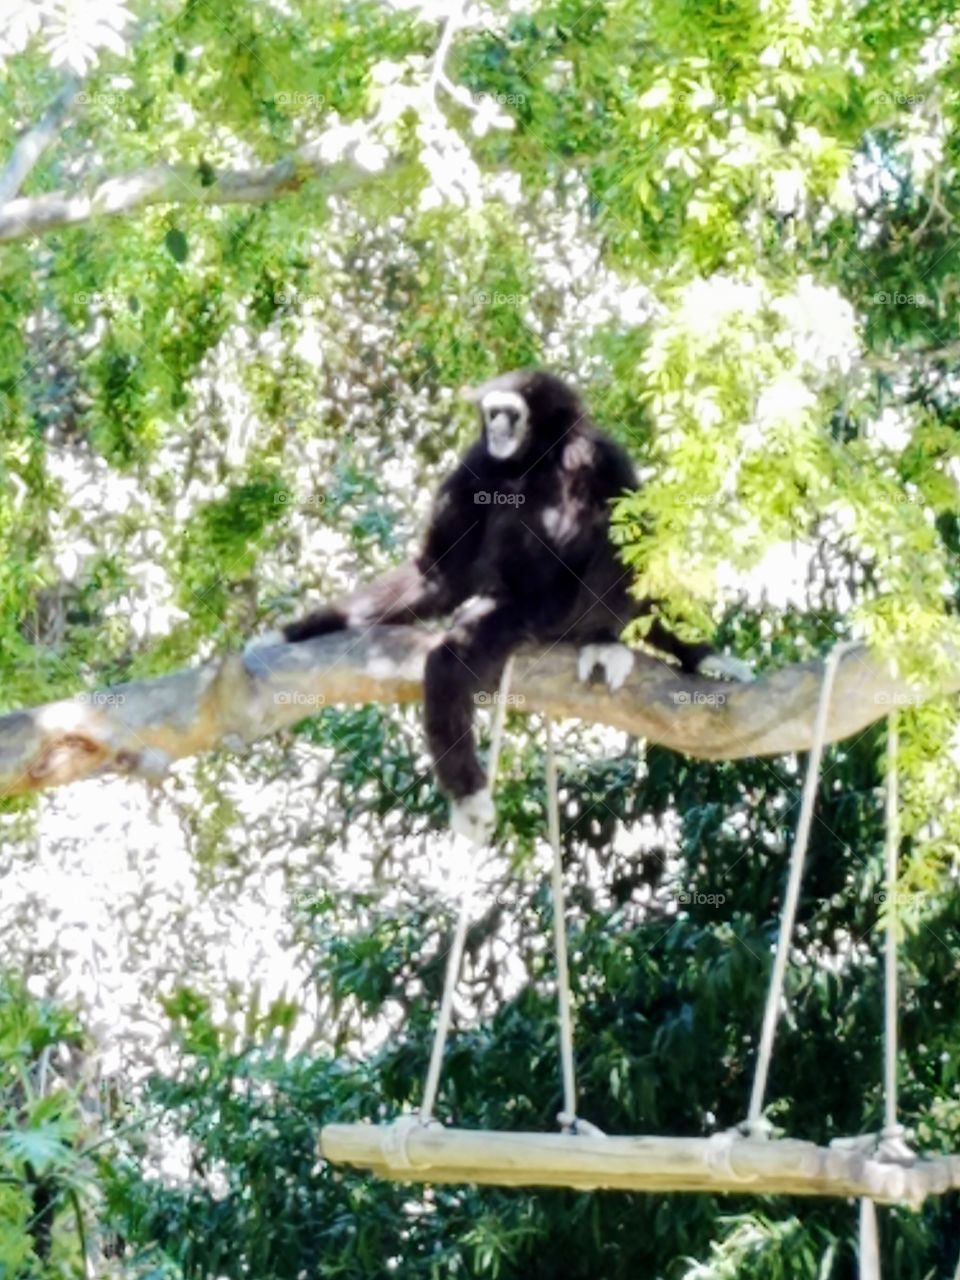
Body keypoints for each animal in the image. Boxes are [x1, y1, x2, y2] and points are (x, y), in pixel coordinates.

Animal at [273, 369, 752, 843]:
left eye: (511, 414)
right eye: (492, 414)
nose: (498, 428)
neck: (537, 459)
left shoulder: (598, 452)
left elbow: (637, 536)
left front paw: (691, 650)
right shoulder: (476, 462)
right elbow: (440, 574)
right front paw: (312, 624)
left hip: (558, 610)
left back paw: (604, 639)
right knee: (455, 649)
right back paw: (468, 795)